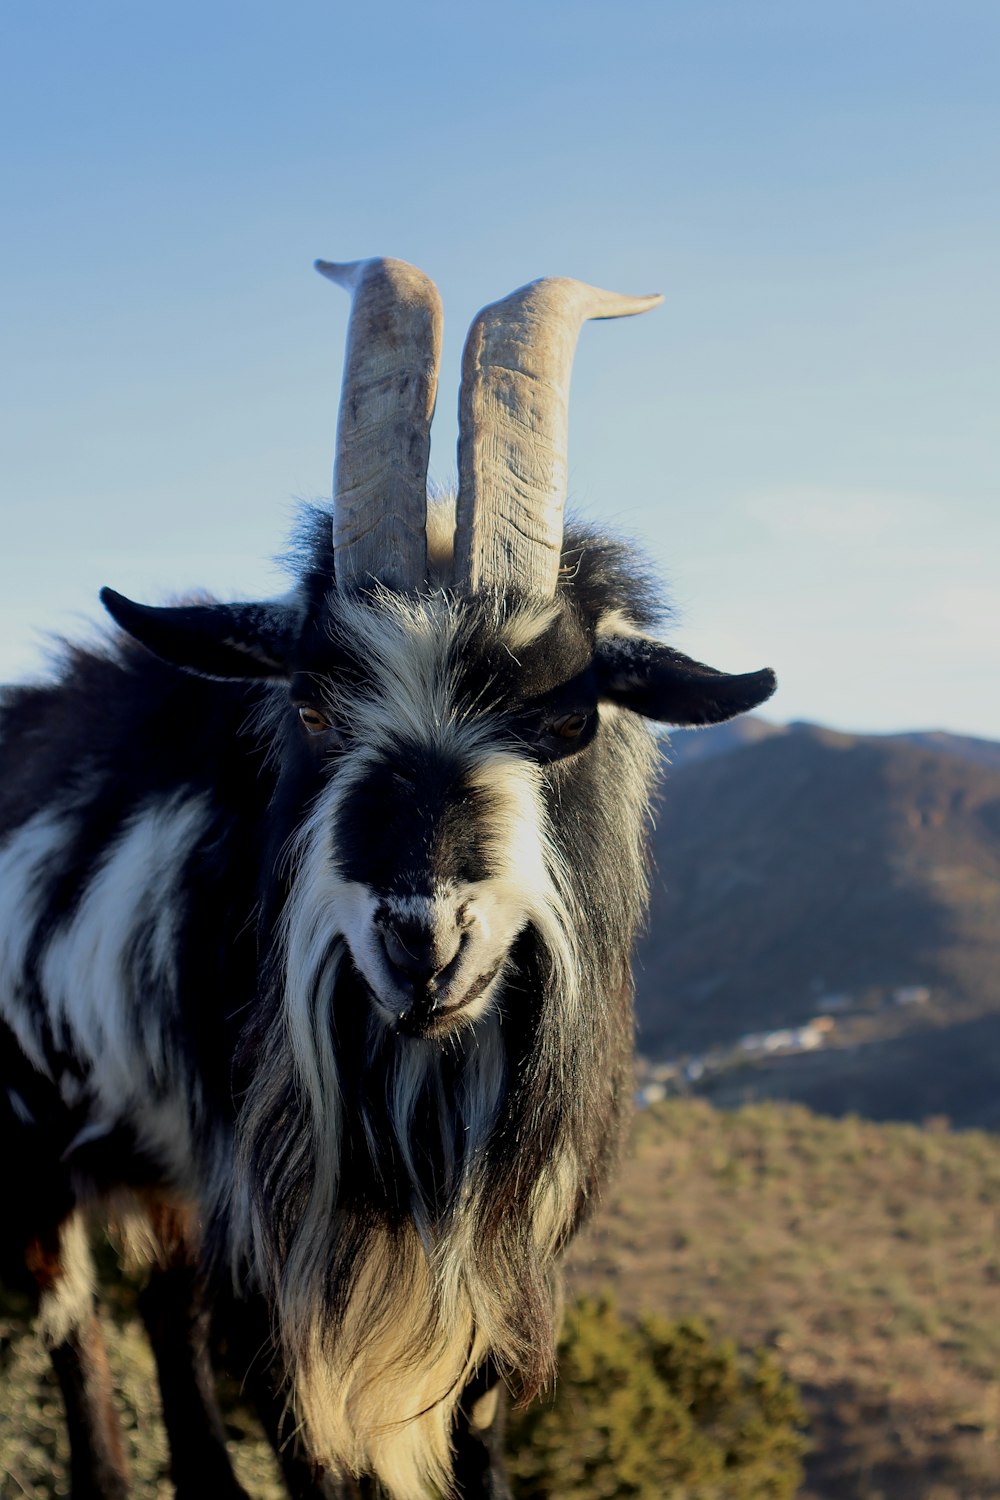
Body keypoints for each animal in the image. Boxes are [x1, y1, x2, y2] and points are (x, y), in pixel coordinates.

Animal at [0, 261, 773, 1500]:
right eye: (313, 708)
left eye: (569, 714)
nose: (424, 939)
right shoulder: (278, 1242)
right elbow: (304, 1437)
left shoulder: (496, 1269)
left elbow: (479, 1432)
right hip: (32, 1132)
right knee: (73, 1315)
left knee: (160, 1300)